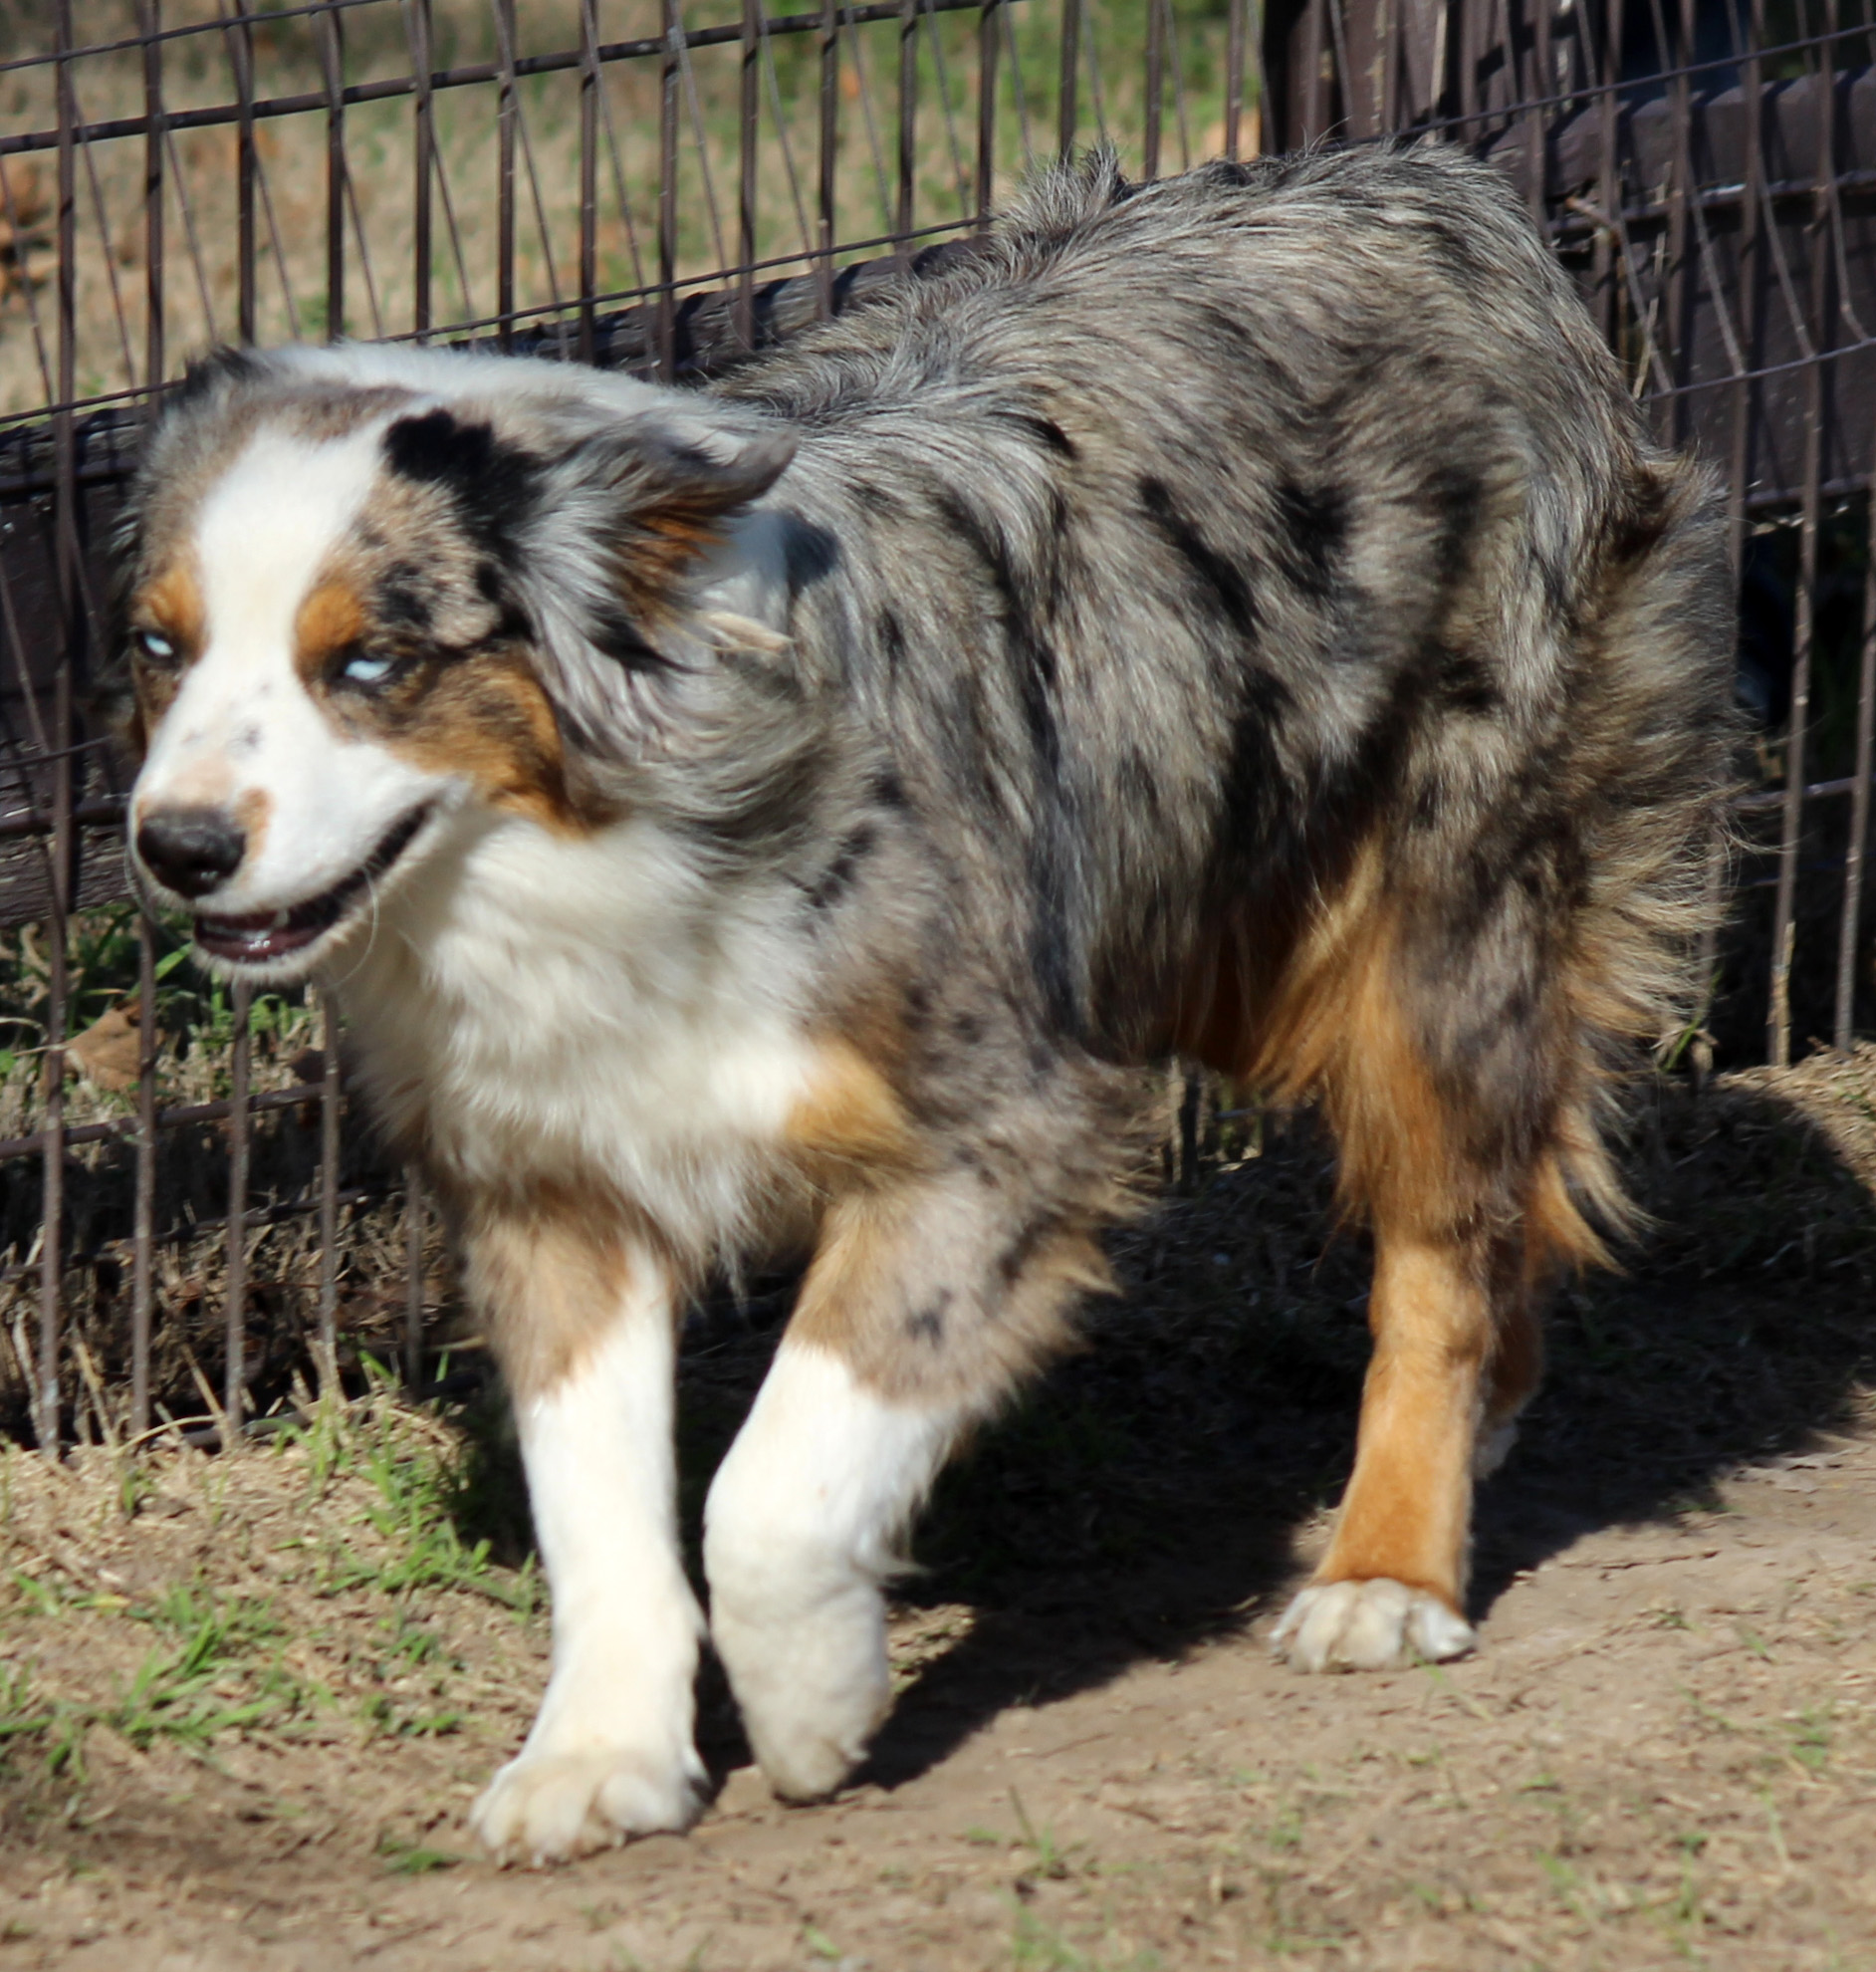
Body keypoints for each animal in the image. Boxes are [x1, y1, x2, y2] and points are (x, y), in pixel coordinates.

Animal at [110, 142, 1734, 1861]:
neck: (593, 846)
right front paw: (600, 1756)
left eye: (370, 663)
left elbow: (768, 1487)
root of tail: (1438, 179)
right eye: (157, 646)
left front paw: (811, 1708)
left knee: (1445, 1245)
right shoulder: (552, 1184)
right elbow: (596, 1507)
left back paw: (1386, 1570)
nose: (178, 847)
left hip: (1434, 920)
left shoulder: (1006, 1131)